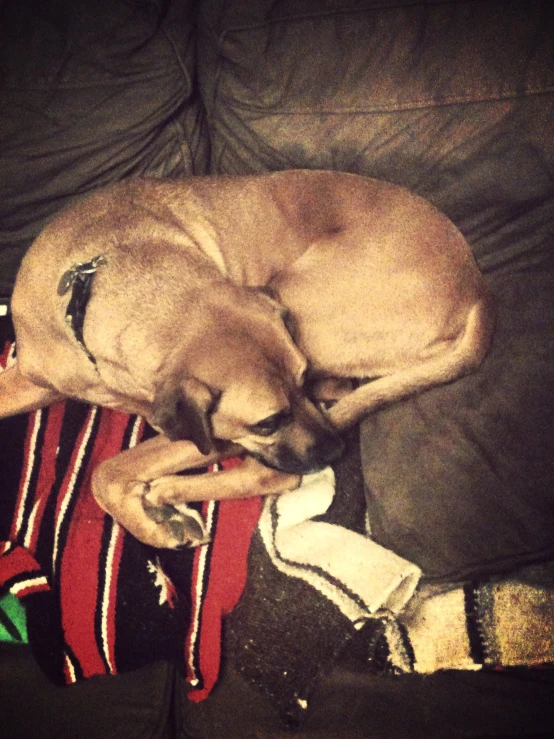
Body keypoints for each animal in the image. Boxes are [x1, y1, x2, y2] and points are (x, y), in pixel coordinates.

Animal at [0, 169, 492, 548]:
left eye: (299, 382)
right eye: (268, 421)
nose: (336, 450)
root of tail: (475, 289)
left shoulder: (207, 435)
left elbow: (107, 471)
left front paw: (156, 526)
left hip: (297, 298)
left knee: (280, 473)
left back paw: (171, 491)